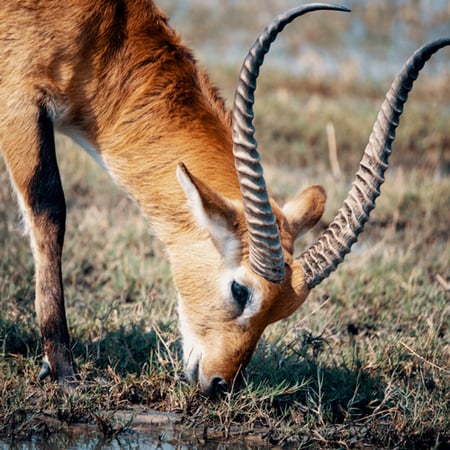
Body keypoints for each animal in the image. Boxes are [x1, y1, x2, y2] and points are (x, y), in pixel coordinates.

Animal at [0, 0, 450, 396]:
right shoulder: (19, 103)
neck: (107, 30)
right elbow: (49, 210)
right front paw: (63, 370)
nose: (219, 384)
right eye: (240, 291)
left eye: (283, 311)